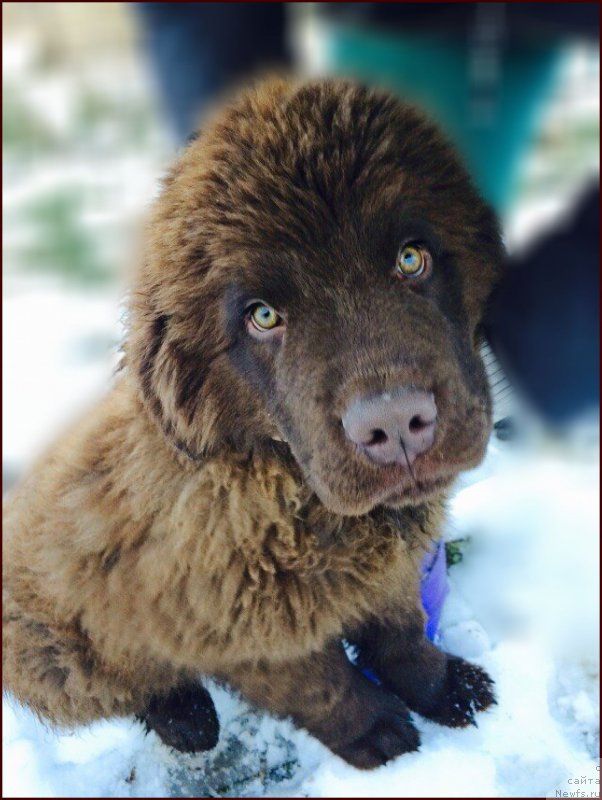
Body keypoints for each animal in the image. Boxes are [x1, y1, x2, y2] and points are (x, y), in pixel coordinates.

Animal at [2, 79, 500, 768]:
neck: (281, 487)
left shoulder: (392, 574)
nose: (397, 424)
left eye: (410, 258)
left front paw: (445, 685)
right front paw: (378, 733)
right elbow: (323, 685)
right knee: (125, 685)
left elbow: (402, 638)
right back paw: (186, 718)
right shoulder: (240, 635)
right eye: (263, 316)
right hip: (55, 652)